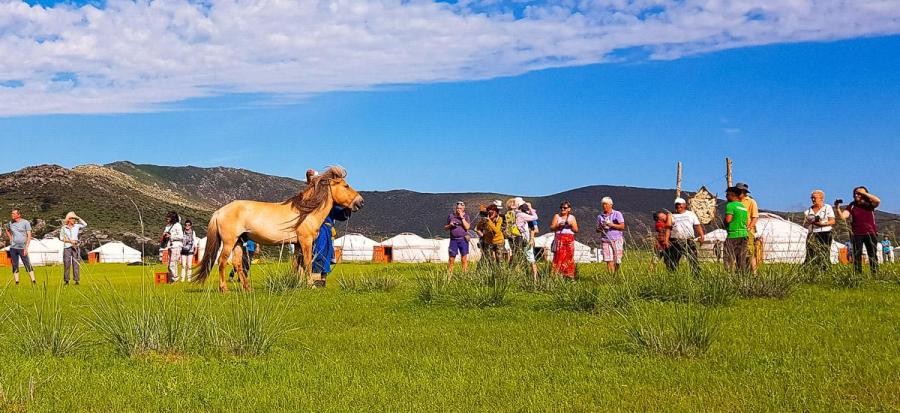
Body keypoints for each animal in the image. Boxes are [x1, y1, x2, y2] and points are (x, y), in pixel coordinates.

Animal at [195, 166, 364, 292]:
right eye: (346, 185)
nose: (360, 202)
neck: (306, 211)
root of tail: (219, 211)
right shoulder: (306, 241)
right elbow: (308, 263)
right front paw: (310, 285)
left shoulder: (297, 244)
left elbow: (297, 265)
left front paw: (297, 284)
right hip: (229, 242)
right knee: (222, 262)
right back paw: (224, 288)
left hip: (238, 242)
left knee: (237, 264)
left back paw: (247, 288)